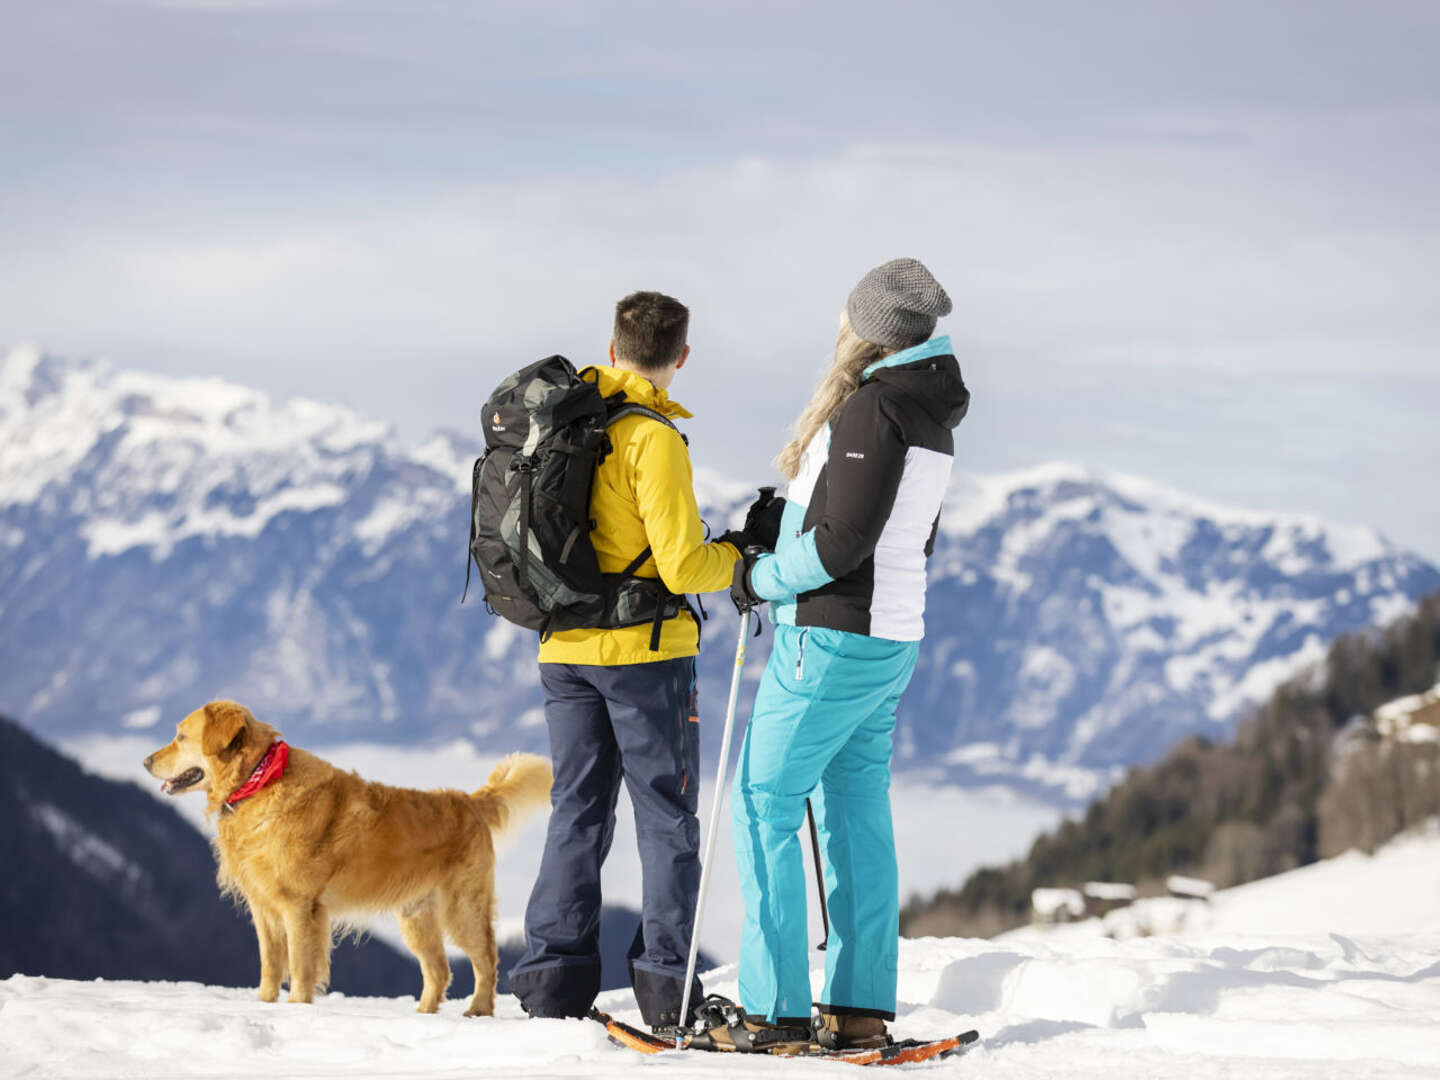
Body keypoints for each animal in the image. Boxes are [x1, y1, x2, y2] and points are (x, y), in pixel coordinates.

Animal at [144, 702, 550, 1013]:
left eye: (181, 736)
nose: (146, 761)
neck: (260, 780)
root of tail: (469, 801)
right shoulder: (264, 908)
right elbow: (271, 967)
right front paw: (266, 1006)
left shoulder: (299, 907)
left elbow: (300, 967)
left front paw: (297, 1010)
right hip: (416, 916)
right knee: (439, 970)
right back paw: (423, 1015)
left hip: (463, 907)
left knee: (486, 960)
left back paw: (478, 1010)